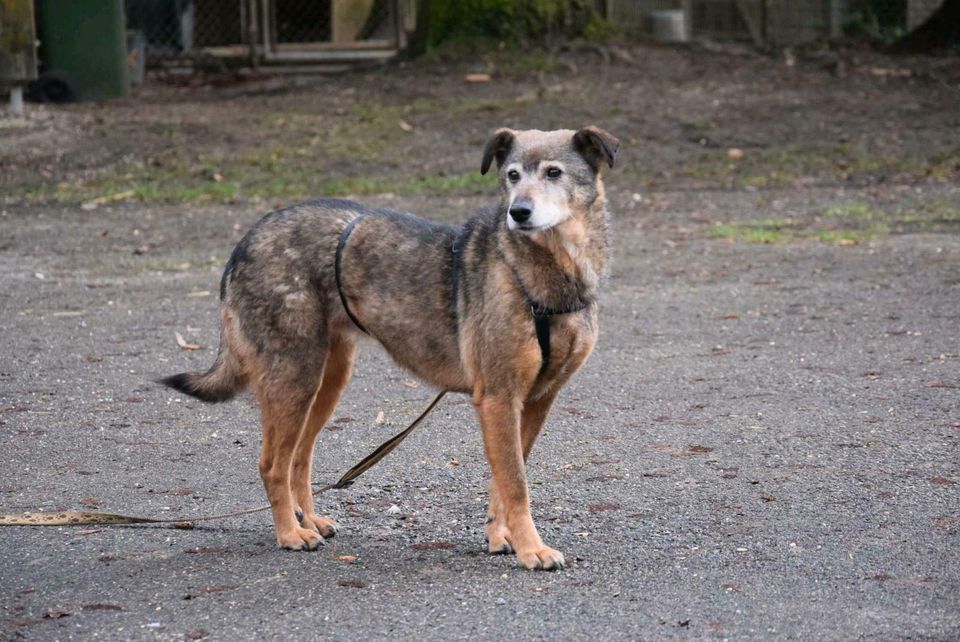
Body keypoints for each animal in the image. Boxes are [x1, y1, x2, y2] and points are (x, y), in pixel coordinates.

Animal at [161, 126, 620, 568]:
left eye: (554, 173)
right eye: (512, 175)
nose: (518, 213)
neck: (542, 272)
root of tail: (247, 239)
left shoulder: (535, 400)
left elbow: (504, 481)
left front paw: (499, 537)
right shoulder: (499, 398)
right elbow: (516, 484)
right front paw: (532, 550)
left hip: (326, 381)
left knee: (298, 459)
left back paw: (308, 519)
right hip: (294, 377)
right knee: (273, 464)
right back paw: (290, 534)